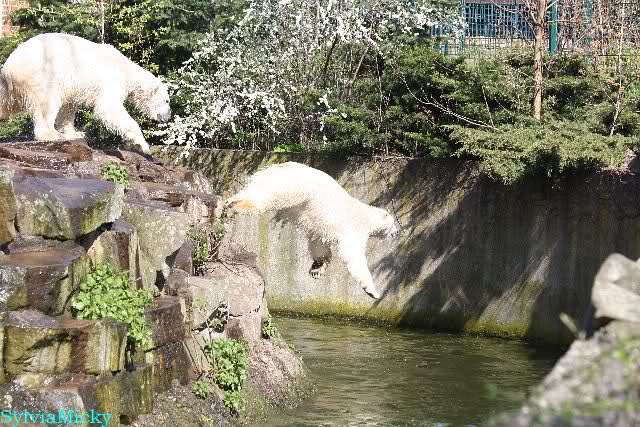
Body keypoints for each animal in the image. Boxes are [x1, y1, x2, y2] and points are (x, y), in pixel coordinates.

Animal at [0, 33, 171, 153]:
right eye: (167, 100)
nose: (167, 116)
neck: (126, 69)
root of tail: (8, 66)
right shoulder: (110, 81)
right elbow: (109, 109)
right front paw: (142, 144)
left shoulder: (73, 87)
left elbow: (69, 107)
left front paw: (76, 133)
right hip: (44, 75)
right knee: (47, 104)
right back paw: (54, 135)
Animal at [225, 162, 399, 299]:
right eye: (393, 223)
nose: (397, 232)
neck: (365, 217)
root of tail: (277, 167)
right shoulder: (353, 229)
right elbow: (353, 255)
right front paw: (372, 291)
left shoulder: (320, 227)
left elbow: (318, 243)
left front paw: (317, 268)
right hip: (295, 188)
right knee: (266, 198)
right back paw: (235, 206)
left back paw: (230, 201)